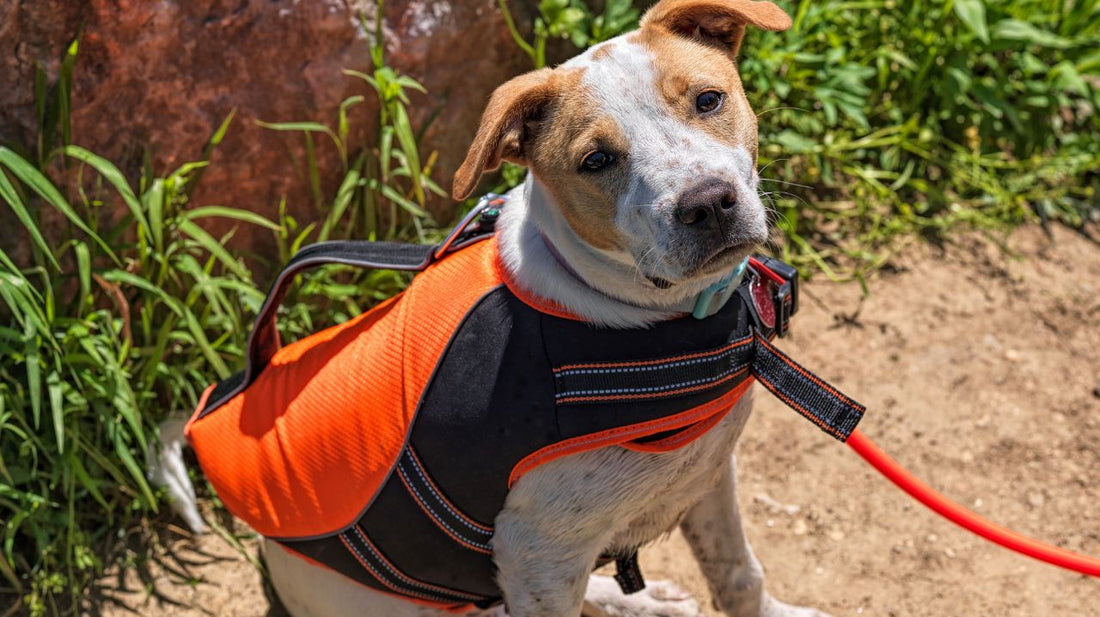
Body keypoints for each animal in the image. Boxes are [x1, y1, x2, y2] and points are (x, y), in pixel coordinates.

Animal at [152, 1, 827, 615]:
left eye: (709, 100)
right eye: (596, 161)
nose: (707, 203)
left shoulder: (708, 475)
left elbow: (739, 574)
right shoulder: (537, 553)